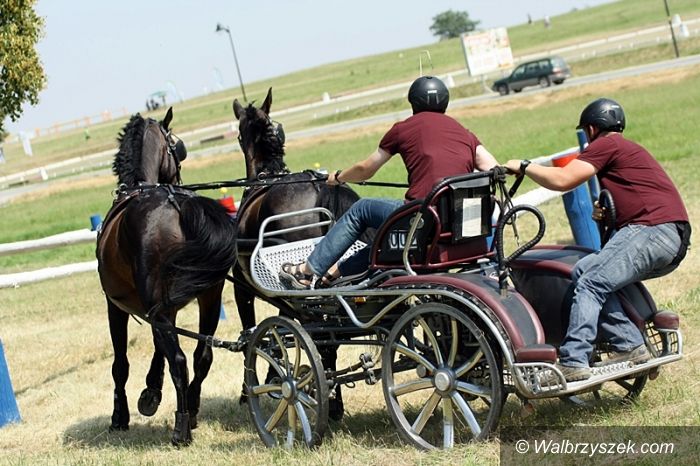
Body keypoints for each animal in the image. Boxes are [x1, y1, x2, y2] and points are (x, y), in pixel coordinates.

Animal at [96, 108, 238, 446]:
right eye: (179, 148)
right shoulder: (162, 307)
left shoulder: (116, 306)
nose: (178, 177)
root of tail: (178, 204)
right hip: (209, 298)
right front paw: (151, 391)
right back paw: (193, 408)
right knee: (202, 355)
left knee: (181, 361)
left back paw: (181, 427)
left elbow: (121, 364)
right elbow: (159, 345)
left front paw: (120, 415)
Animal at [231, 88, 362, 418]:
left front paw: (251, 387)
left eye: (238, 135)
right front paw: (274, 373)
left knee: (324, 339)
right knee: (328, 338)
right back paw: (333, 400)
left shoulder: (244, 288)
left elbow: (252, 333)